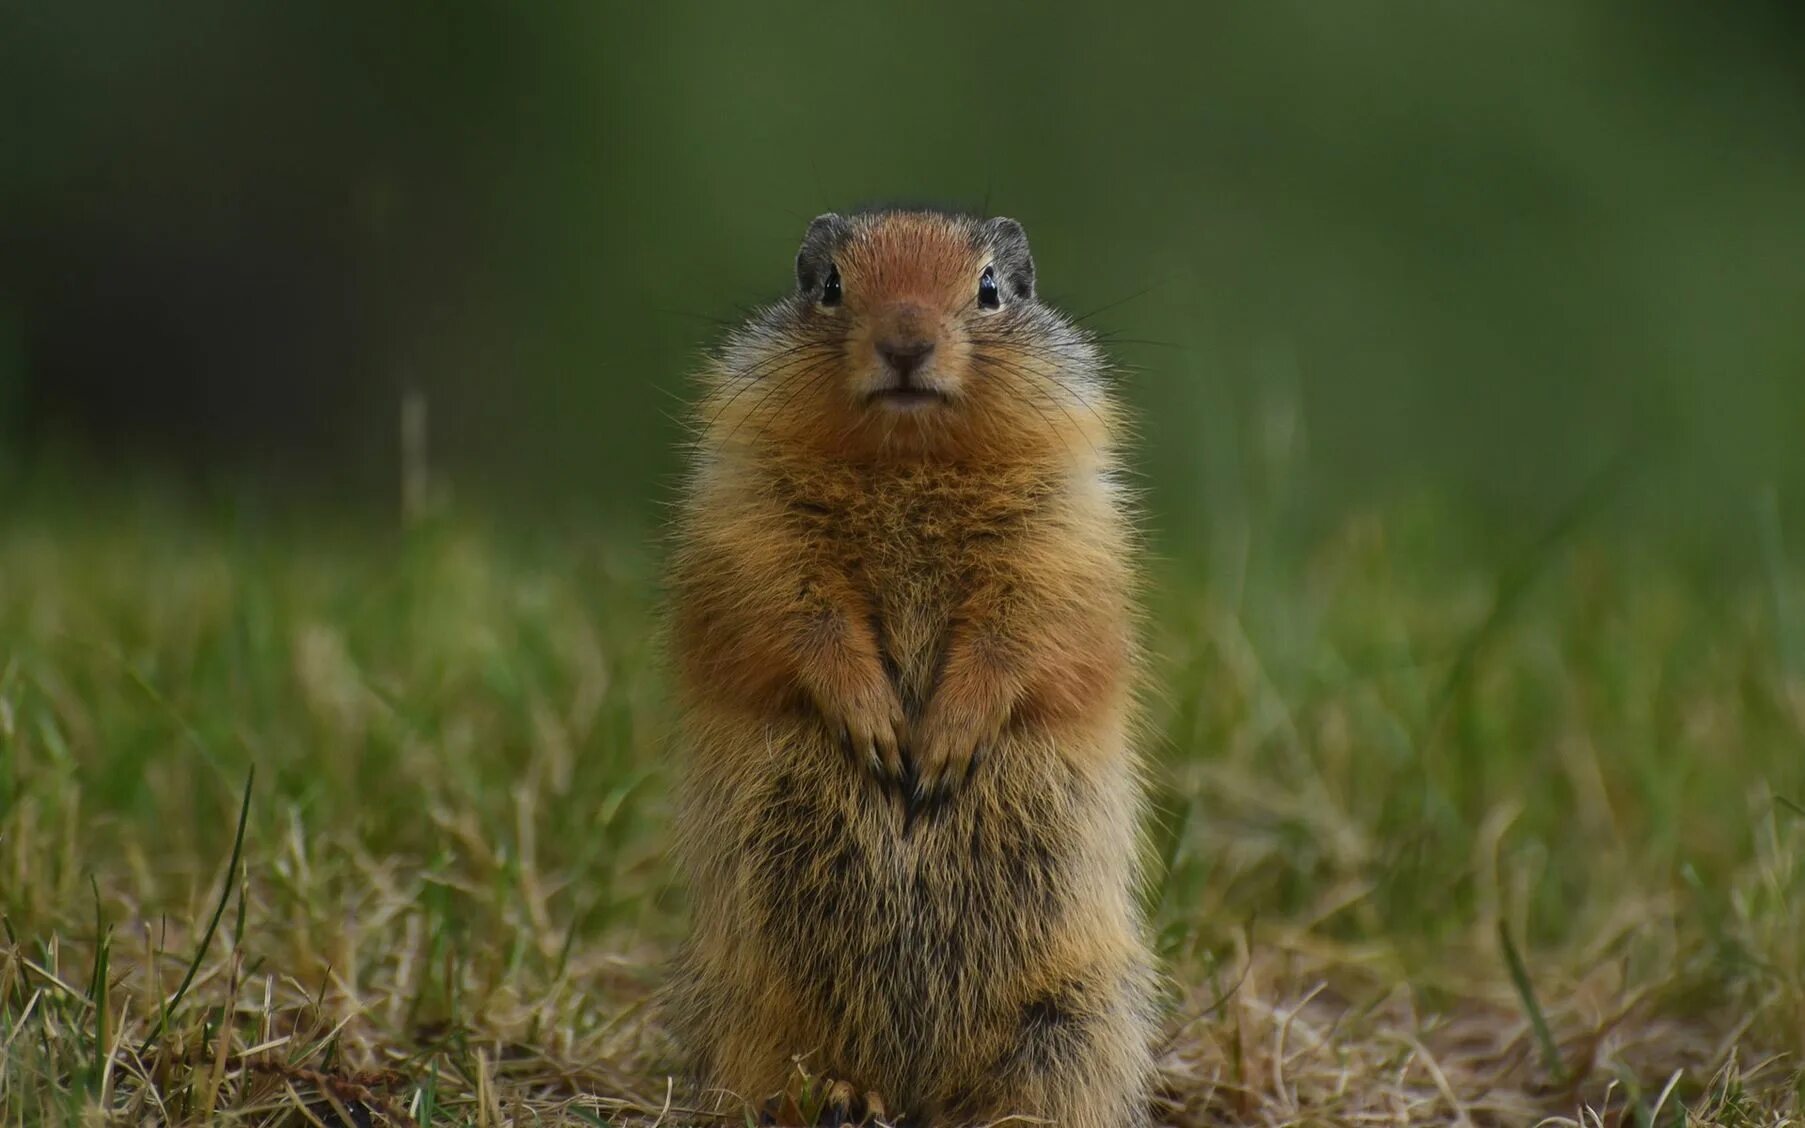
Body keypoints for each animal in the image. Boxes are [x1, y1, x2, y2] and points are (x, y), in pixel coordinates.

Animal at [664, 206, 1155, 1118]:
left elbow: (1029, 623)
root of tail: (915, 1089)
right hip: (747, 1006)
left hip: (1081, 1014)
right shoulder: (746, 513)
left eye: (990, 288)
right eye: (828, 284)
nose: (904, 343)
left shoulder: (1064, 531)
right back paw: (838, 1098)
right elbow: (788, 608)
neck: (909, 461)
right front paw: (877, 727)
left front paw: (941, 747)